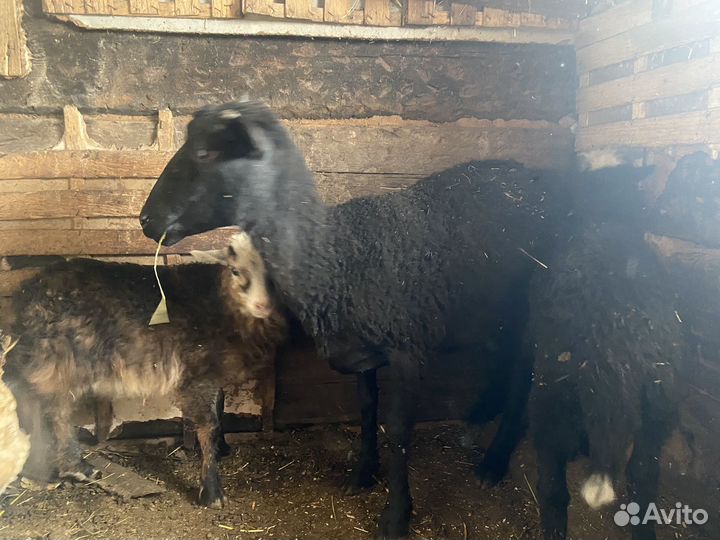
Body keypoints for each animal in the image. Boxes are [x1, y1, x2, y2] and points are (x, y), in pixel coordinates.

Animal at [5, 232, 287, 508]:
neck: (223, 303)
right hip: (60, 357)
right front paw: (212, 492)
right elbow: (210, 424)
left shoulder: (211, 372)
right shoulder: (196, 371)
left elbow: (220, 405)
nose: (262, 305)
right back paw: (76, 467)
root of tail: (28, 293)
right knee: (53, 409)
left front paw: (223, 449)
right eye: (235, 270)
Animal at [138, 100, 568, 538]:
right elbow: (366, 409)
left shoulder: (406, 349)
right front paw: (363, 474)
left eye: (205, 153)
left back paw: (494, 462)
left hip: (532, 310)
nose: (145, 220)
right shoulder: (363, 355)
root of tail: (539, 180)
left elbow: (398, 429)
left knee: (523, 378)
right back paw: (482, 414)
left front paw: (396, 514)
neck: (338, 254)